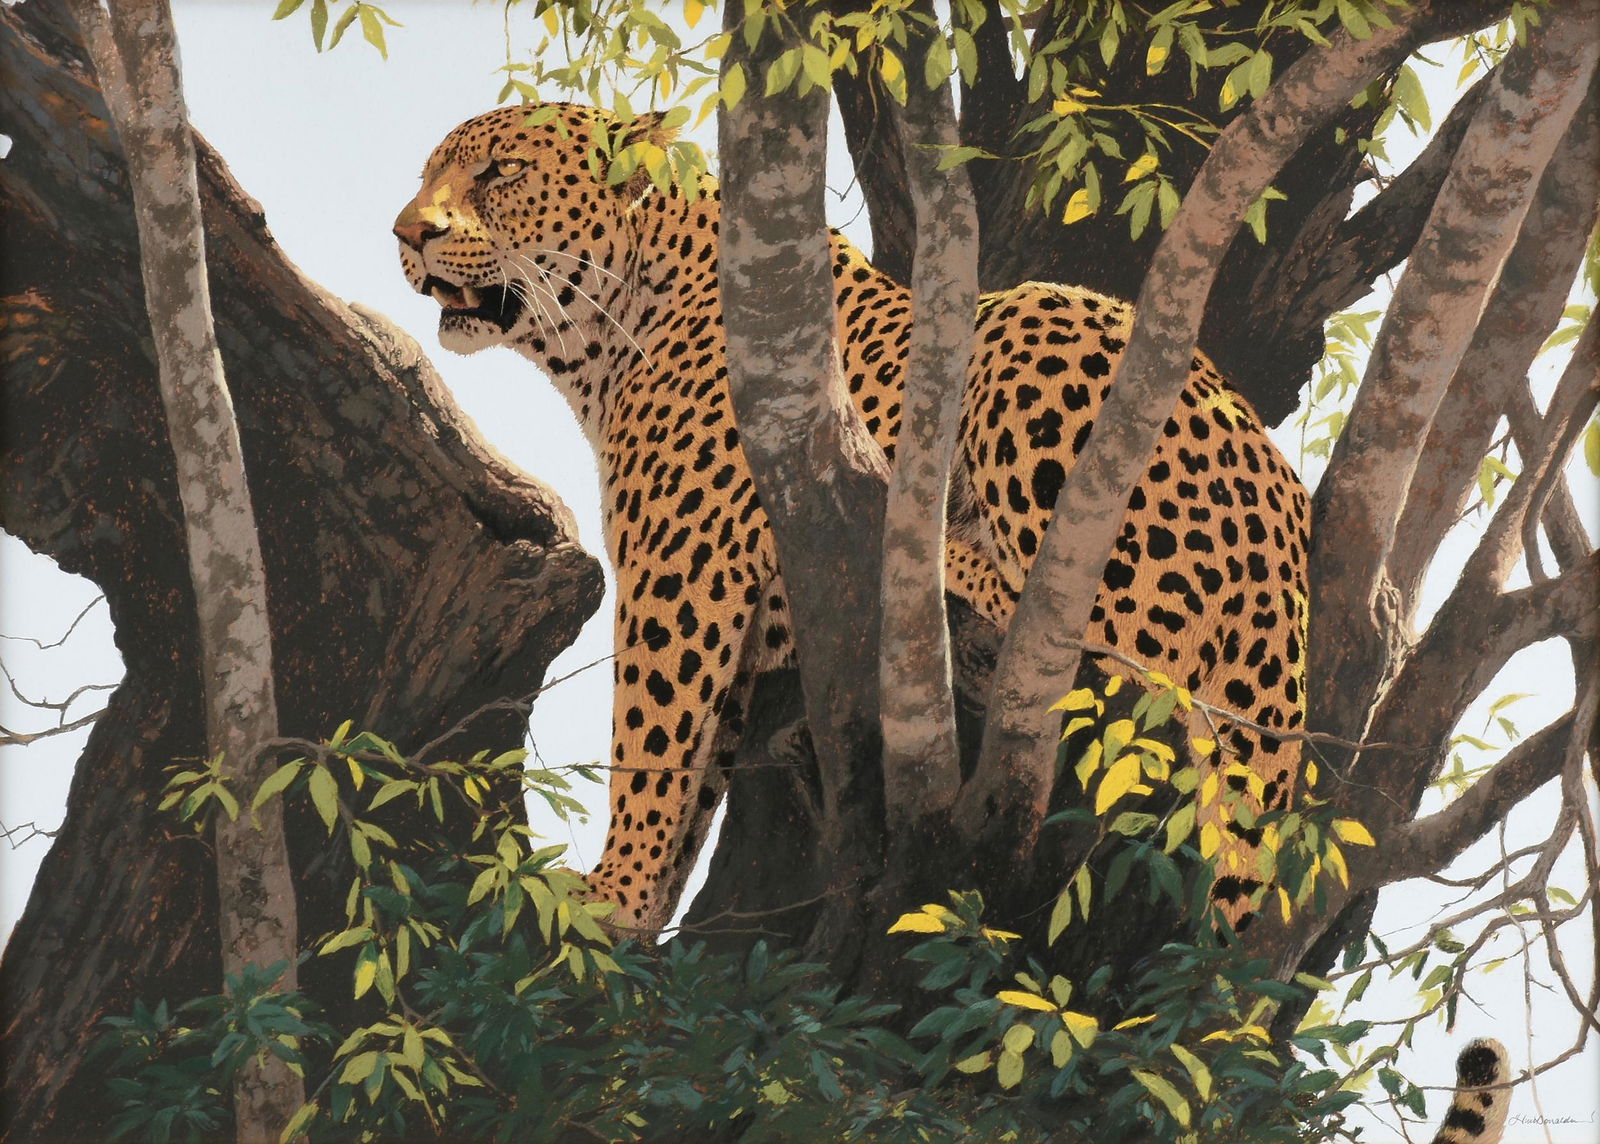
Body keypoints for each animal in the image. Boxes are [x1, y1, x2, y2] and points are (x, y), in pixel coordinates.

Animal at [394, 103, 1311, 935]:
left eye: (501, 171)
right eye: (427, 173)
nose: (407, 235)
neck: (606, 339)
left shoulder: (681, 570)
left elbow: (649, 734)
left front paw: (609, 891)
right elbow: (696, 771)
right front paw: (645, 908)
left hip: (1038, 336)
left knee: (1107, 636)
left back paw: (934, 546)